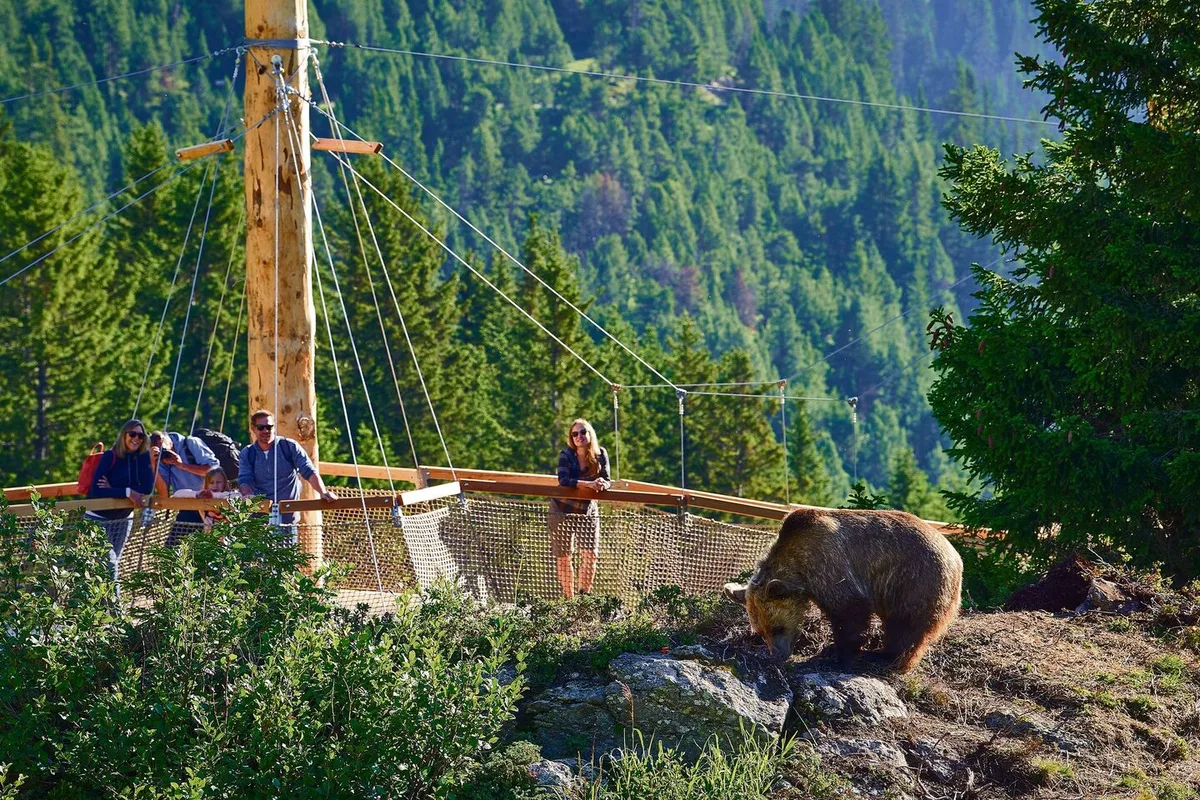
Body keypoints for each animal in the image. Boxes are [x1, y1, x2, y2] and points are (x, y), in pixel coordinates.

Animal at [724, 507, 963, 673]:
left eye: (778, 628)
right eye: (761, 631)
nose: (777, 654)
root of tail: (956, 557)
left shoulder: (829, 564)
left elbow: (849, 611)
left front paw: (840, 656)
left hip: (916, 580)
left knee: (905, 624)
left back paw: (885, 657)